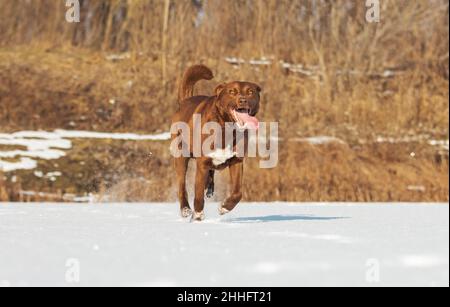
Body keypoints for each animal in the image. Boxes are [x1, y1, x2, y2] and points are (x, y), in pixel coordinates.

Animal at [172, 65, 264, 221]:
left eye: (250, 92)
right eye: (232, 92)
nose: (243, 100)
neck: (227, 128)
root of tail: (185, 100)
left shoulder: (236, 160)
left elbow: (238, 192)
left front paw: (225, 207)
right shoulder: (202, 163)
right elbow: (197, 195)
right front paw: (198, 215)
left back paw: (209, 188)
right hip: (181, 155)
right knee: (182, 185)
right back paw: (185, 209)